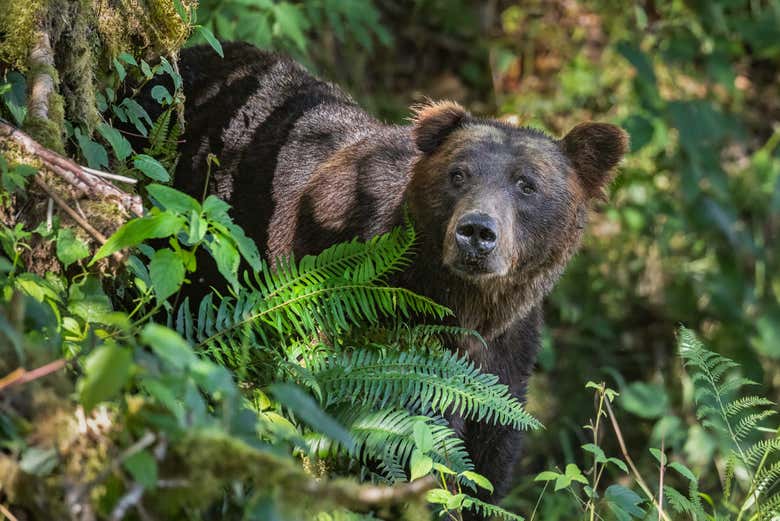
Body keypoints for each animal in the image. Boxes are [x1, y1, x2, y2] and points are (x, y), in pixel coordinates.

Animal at [139, 42, 628, 515]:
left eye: (527, 184)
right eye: (458, 174)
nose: (476, 232)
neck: (464, 305)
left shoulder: (507, 357)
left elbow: (489, 458)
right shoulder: (376, 324)